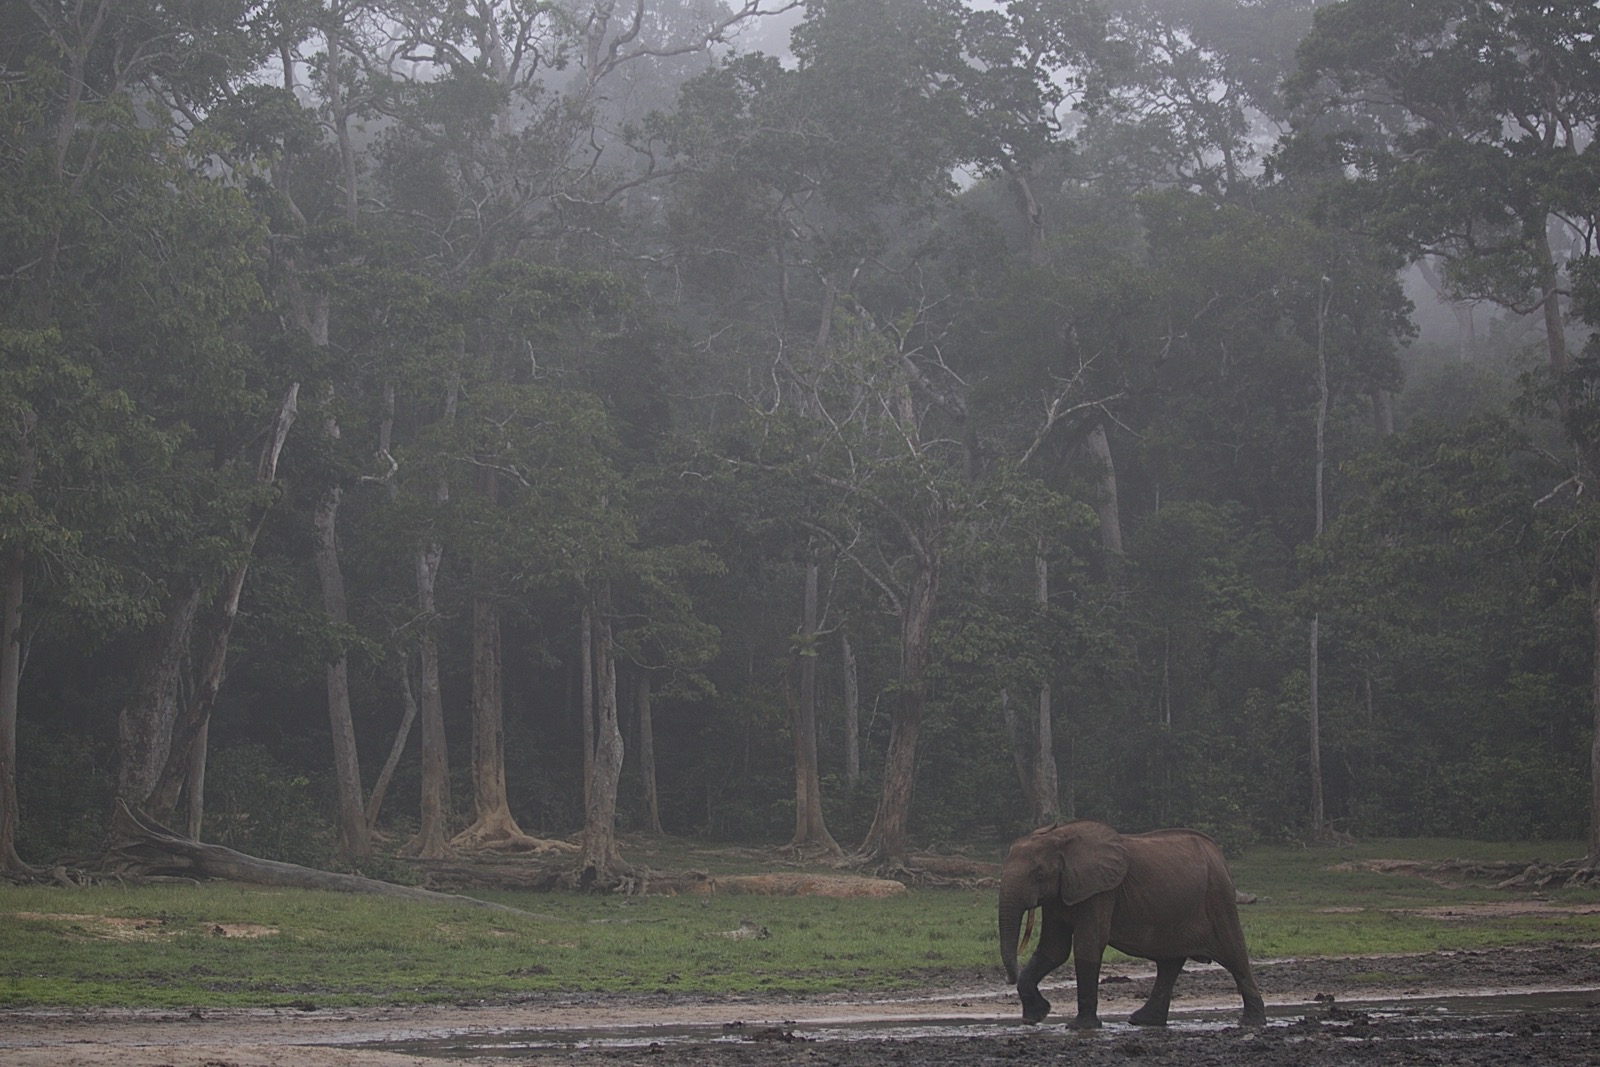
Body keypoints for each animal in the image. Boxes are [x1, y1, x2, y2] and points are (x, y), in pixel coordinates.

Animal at [998, 819, 1266, 1029]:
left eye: (1039, 875)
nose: (1008, 979)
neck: (1060, 837)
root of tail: (1217, 852)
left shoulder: (1102, 892)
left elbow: (1087, 946)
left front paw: (1078, 1027)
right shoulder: (1061, 893)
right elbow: (1053, 950)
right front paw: (1035, 1017)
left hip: (1218, 897)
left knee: (1234, 955)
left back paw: (1251, 1023)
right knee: (1169, 964)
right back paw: (1143, 1021)